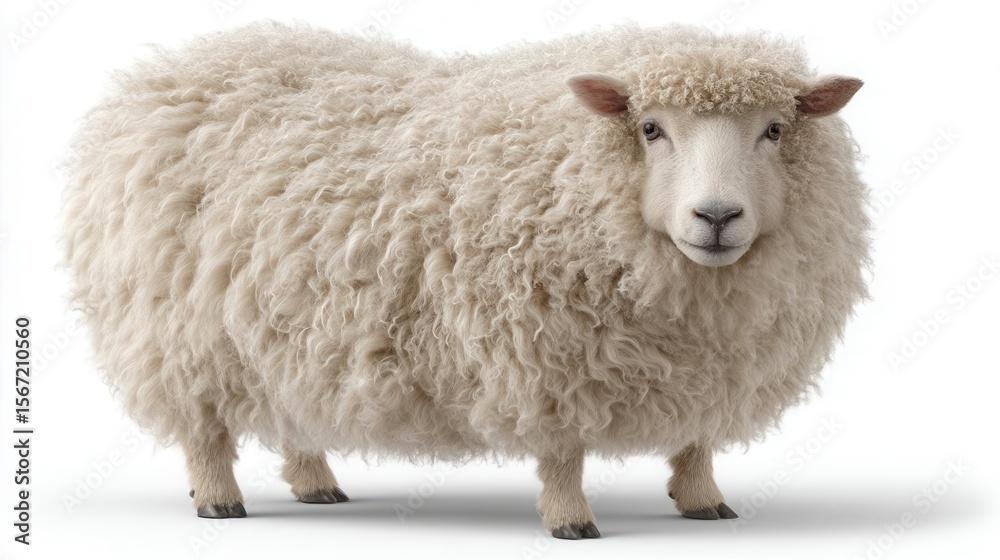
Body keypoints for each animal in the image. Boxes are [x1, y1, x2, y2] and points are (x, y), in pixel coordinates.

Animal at [62, 21, 870, 539]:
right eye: (650, 129)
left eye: (774, 130)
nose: (718, 216)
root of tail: (165, 70)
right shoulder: (544, 359)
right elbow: (563, 454)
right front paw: (571, 521)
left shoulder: (708, 365)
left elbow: (696, 442)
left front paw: (704, 501)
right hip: (178, 333)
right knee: (202, 429)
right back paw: (219, 500)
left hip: (286, 327)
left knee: (294, 409)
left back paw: (317, 483)